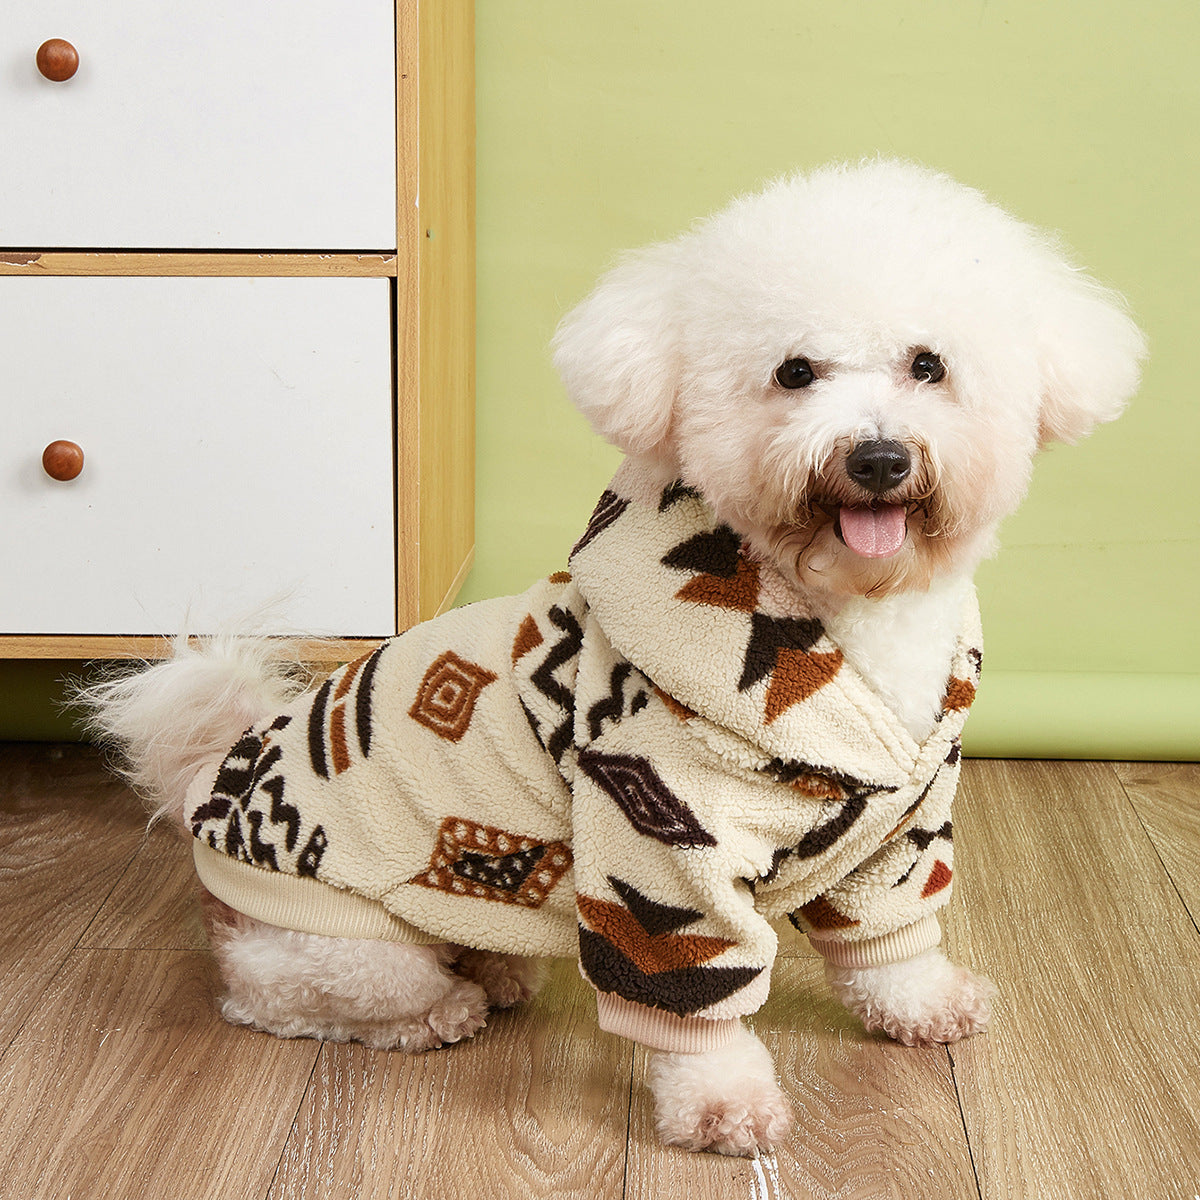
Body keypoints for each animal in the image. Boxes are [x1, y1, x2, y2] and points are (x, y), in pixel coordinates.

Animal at [84, 159, 1142, 1152]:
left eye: (929, 365)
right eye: (795, 373)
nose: (877, 457)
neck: (843, 617)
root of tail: (211, 776)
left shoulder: (898, 832)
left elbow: (894, 937)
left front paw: (922, 1005)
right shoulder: (663, 844)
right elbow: (693, 994)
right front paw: (722, 1103)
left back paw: (497, 967)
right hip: (348, 943)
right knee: (279, 997)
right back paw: (440, 1009)